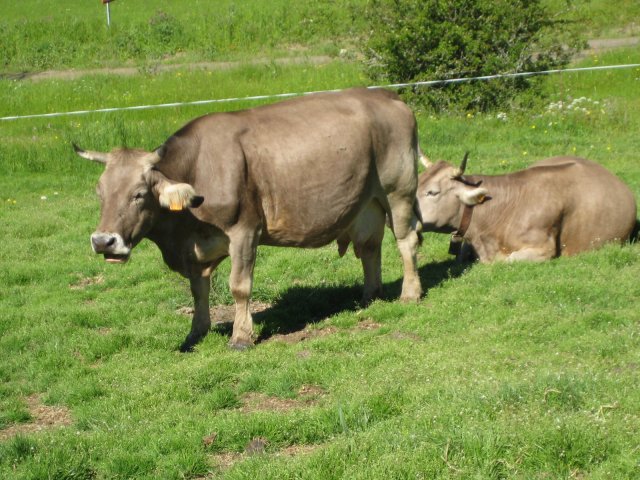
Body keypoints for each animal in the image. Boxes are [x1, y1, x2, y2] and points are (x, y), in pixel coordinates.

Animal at [74, 87, 423, 352]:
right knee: (370, 248)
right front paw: (196, 332)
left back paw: (410, 293)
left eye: (138, 194)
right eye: (100, 193)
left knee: (406, 241)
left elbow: (239, 286)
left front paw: (241, 337)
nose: (103, 241)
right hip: (367, 204)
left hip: (398, 190)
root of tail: (385, 94)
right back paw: (369, 296)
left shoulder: (244, 230)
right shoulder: (194, 250)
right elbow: (198, 290)